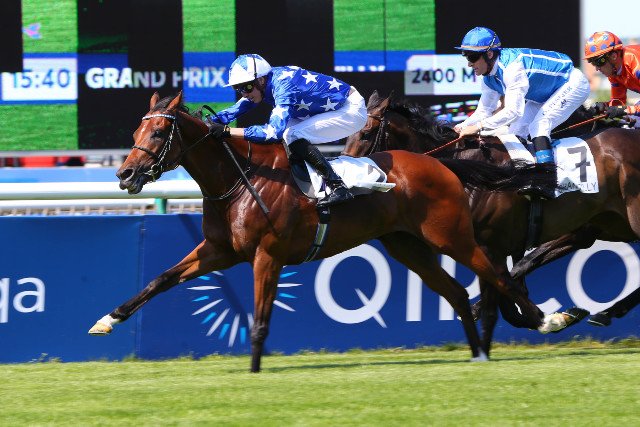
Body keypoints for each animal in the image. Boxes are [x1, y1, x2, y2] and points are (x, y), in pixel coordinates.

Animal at [88, 91, 569, 372]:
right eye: (136, 128)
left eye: (159, 131)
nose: (125, 174)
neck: (239, 177)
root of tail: (441, 163)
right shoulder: (219, 250)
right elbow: (160, 279)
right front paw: (107, 320)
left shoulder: (267, 254)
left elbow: (260, 319)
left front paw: (254, 371)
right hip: (407, 246)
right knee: (455, 291)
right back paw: (477, 353)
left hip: (452, 236)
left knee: (499, 277)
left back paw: (550, 318)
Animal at [343, 91, 640, 349]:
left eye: (366, 133)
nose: (345, 179)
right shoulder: (491, 246)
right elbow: (511, 288)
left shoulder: (493, 245)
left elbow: (507, 286)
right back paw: (607, 312)